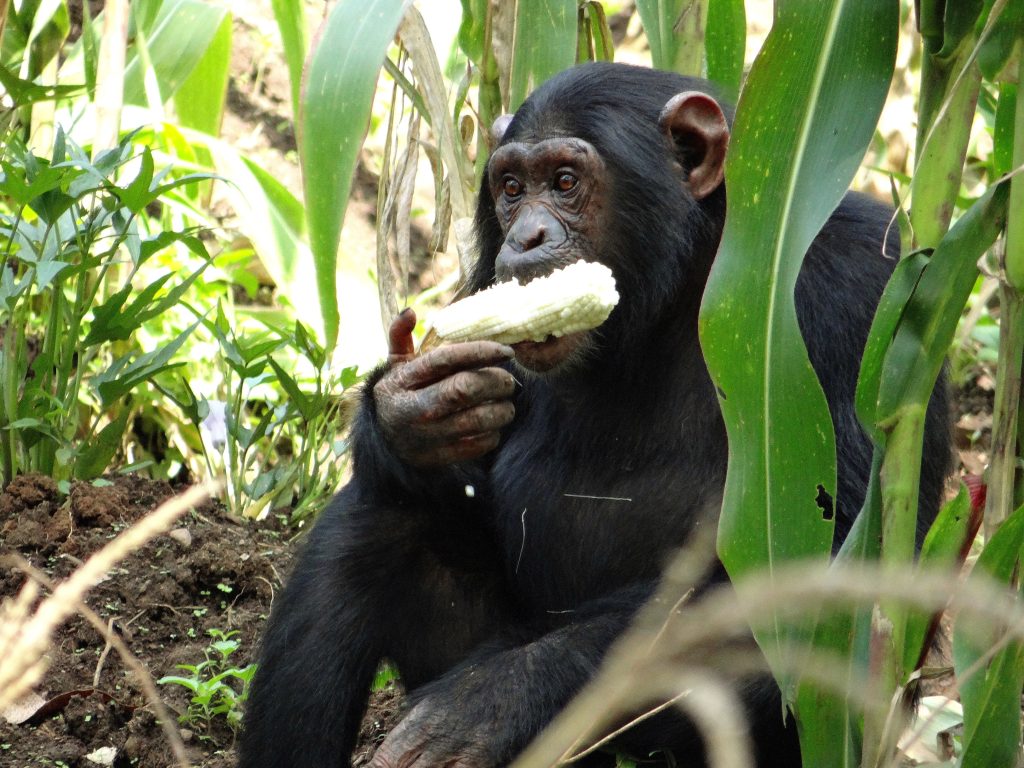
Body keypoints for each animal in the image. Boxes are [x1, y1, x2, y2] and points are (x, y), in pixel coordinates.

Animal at [239, 63, 950, 765]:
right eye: (510, 188)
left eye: (565, 182)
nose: (525, 236)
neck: (688, 285)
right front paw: (412, 408)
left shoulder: (860, 295)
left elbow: (821, 573)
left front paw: (482, 705)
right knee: (372, 522)